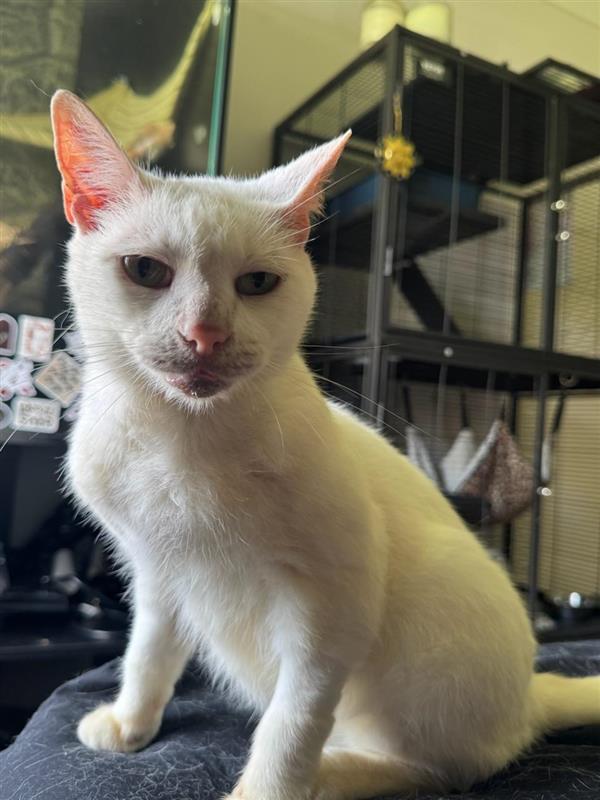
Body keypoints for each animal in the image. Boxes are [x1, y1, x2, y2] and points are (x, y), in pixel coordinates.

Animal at [51, 90, 599, 800]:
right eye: (146, 270)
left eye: (257, 284)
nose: (205, 334)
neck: (183, 440)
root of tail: (531, 696)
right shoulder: (160, 573)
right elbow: (148, 652)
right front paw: (130, 722)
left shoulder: (335, 606)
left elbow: (296, 716)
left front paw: (268, 790)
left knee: (443, 766)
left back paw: (332, 772)